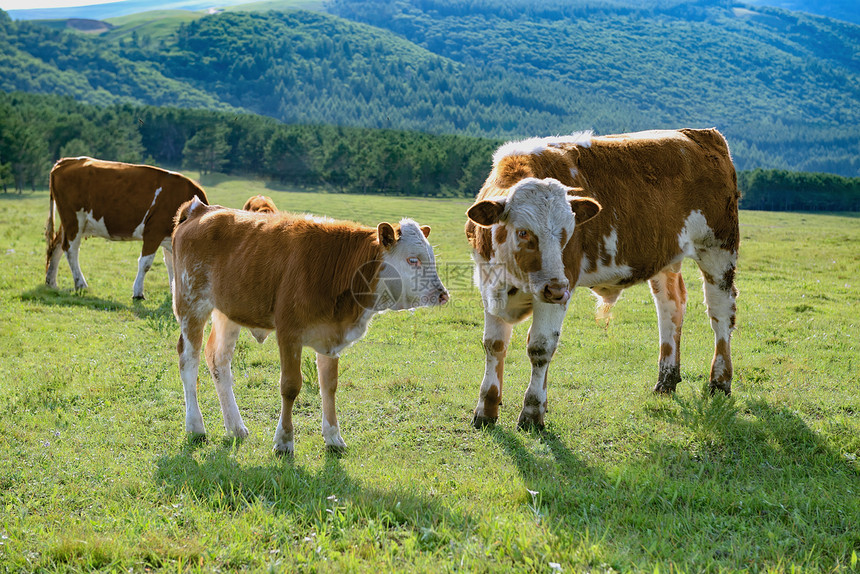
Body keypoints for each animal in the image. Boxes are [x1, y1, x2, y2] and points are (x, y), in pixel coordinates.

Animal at [45, 158, 208, 302]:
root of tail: (66, 161)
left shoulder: (169, 239)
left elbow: (172, 265)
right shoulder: (153, 231)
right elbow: (145, 263)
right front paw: (138, 293)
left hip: (69, 223)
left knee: (57, 246)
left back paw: (51, 282)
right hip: (73, 219)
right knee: (70, 249)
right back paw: (81, 284)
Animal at [170, 200, 450, 456]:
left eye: (432, 259)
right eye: (412, 260)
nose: (442, 294)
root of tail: (200, 209)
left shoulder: (331, 337)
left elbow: (329, 386)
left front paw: (333, 437)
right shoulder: (289, 333)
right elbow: (290, 386)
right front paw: (284, 440)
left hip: (228, 312)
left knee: (219, 360)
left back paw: (235, 427)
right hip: (191, 304)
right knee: (188, 361)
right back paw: (195, 426)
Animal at [464, 128, 740, 430]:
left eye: (569, 230)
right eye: (523, 232)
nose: (556, 288)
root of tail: (702, 134)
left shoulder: (559, 289)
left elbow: (540, 347)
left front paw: (533, 412)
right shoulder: (488, 285)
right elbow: (494, 345)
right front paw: (486, 410)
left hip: (718, 250)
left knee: (720, 314)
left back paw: (720, 381)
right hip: (665, 260)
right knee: (671, 309)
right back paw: (666, 381)